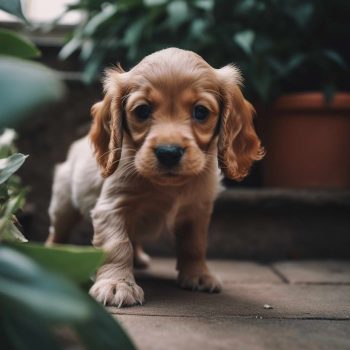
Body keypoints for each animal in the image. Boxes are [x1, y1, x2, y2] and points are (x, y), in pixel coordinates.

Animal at [47, 48, 264, 306]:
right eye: (142, 111)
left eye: (201, 112)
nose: (168, 152)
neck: (169, 187)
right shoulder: (111, 207)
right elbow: (117, 245)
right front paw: (117, 284)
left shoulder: (197, 210)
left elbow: (194, 244)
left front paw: (199, 275)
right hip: (63, 204)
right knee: (58, 232)